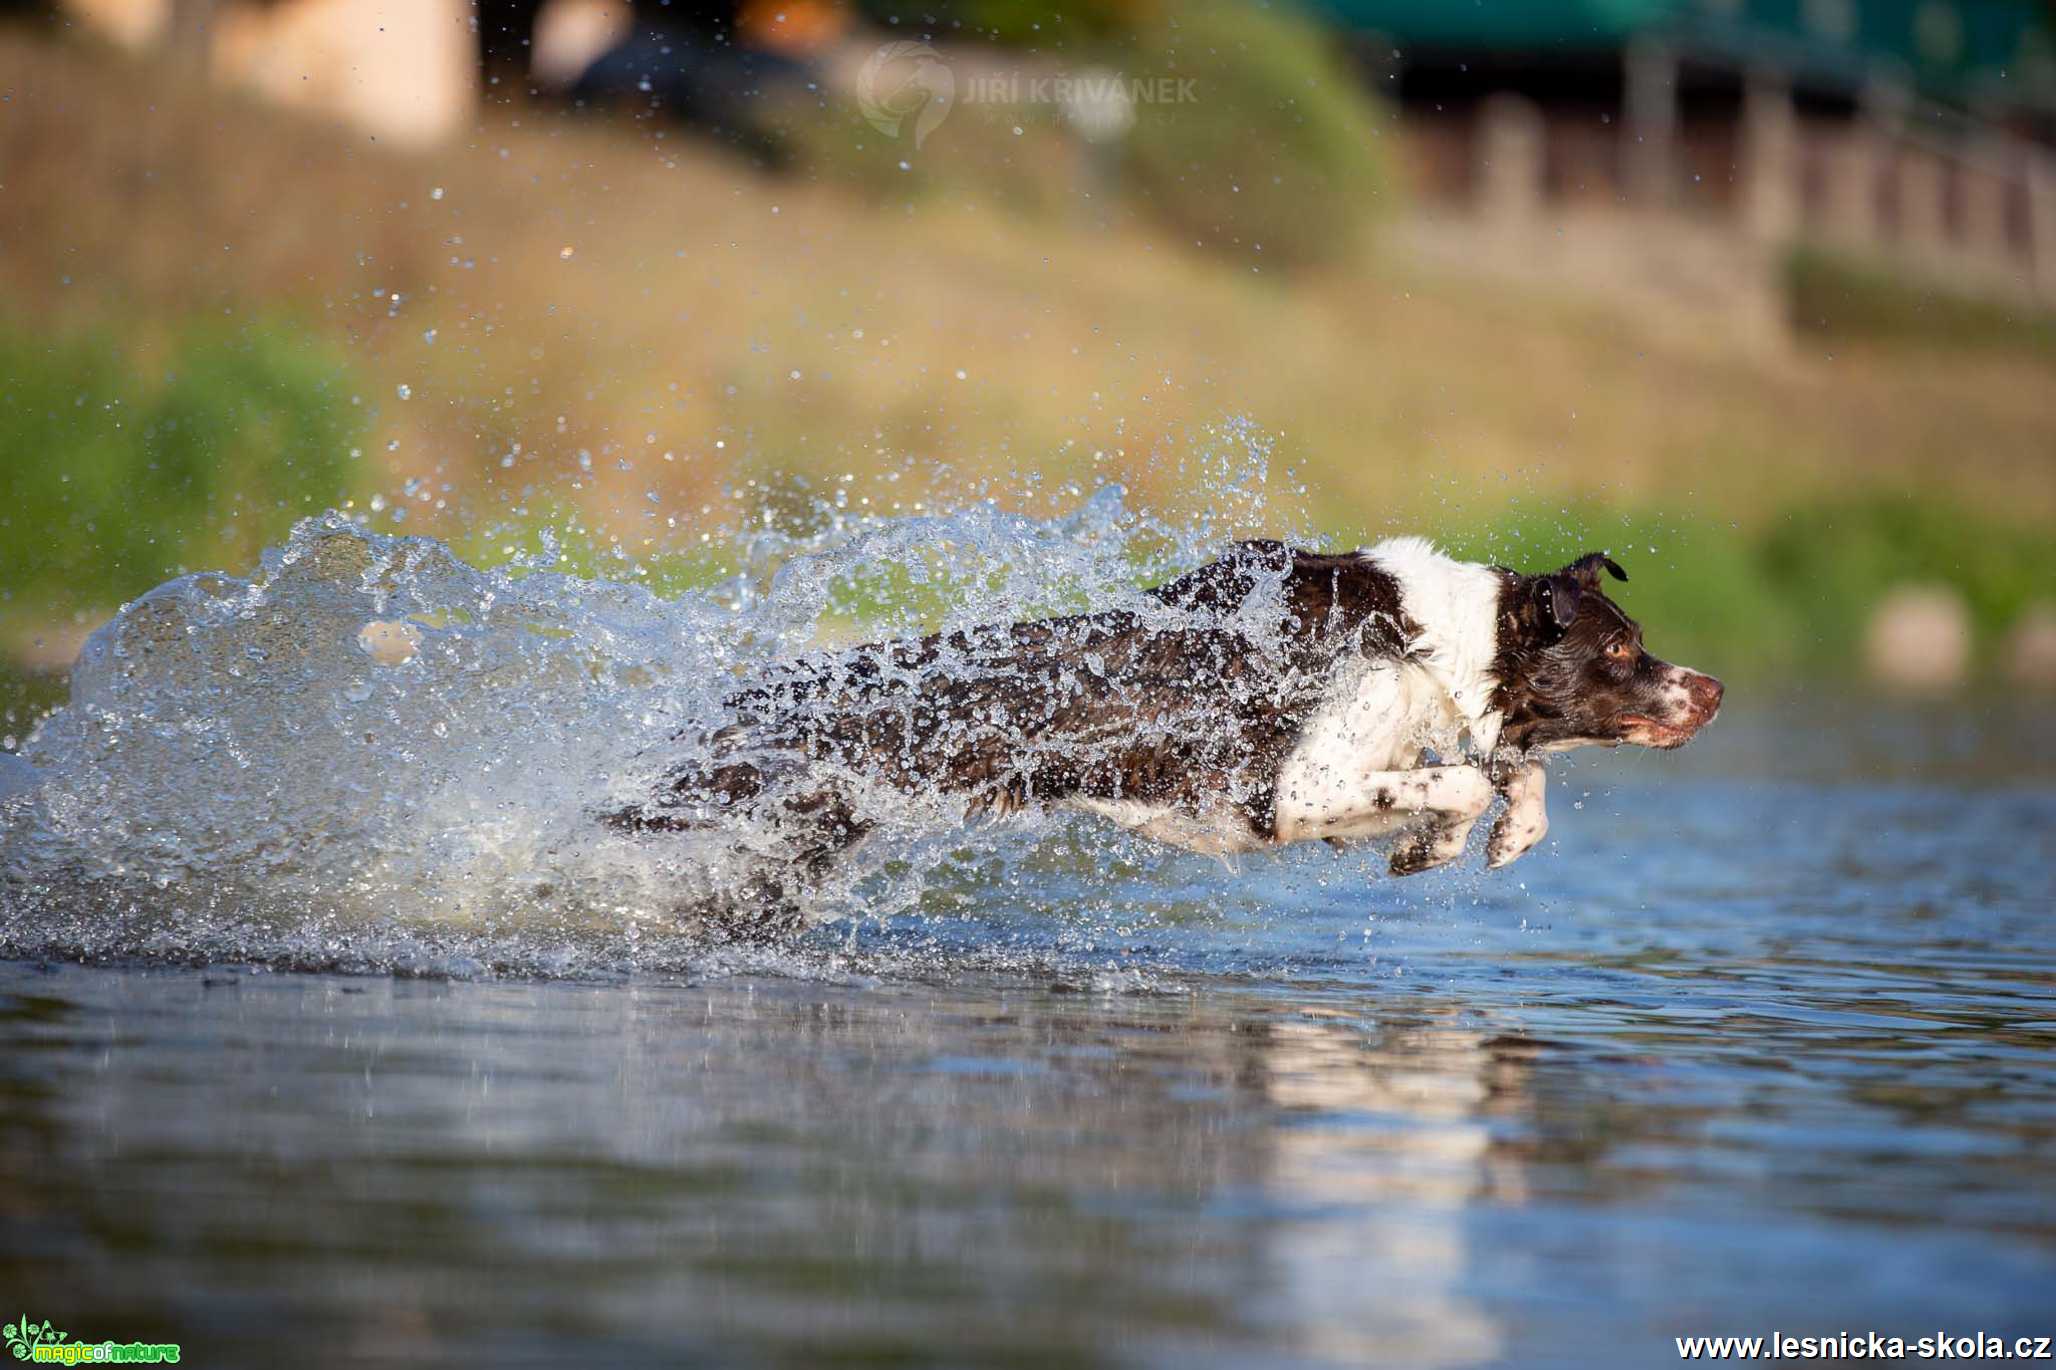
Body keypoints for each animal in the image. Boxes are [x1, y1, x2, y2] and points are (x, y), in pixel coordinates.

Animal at [608, 534, 1718, 917]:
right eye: (1624, 651)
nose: (1710, 689)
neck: (1429, 636)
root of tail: (738, 700)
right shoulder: (1291, 791)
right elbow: (1467, 773)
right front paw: (1442, 836)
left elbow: (1504, 770)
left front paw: (1481, 836)